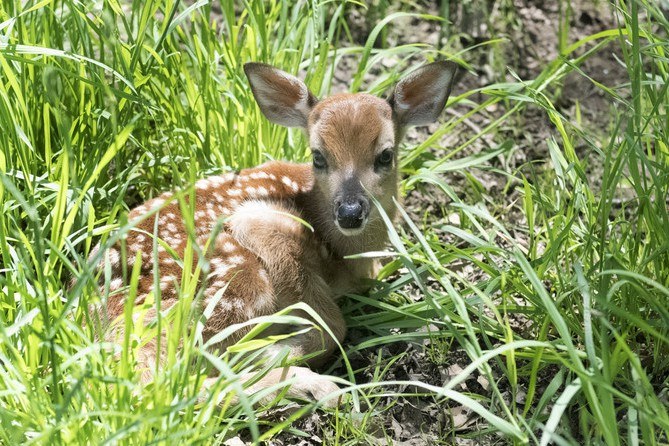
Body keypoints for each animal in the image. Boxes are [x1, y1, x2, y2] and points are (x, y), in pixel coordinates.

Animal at [94, 59, 456, 408]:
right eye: (318, 157)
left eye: (386, 155)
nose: (350, 213)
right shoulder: (262, 221)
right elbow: (333, 324)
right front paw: (276, 350)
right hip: (230, 282)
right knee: (161, 384)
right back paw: (312, 385)